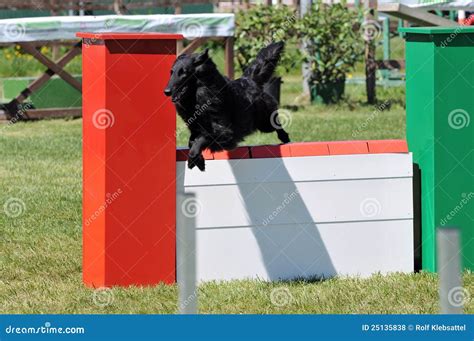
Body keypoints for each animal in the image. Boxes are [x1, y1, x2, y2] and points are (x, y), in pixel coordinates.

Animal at [167, 42, 290, 170]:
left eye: (184, 73)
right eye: (171, 72)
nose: (167, 91)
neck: (197, 99)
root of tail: (249, 79)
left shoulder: (224, 132)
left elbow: (201, 139)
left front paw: (194, 157)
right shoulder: (194, 129)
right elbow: (192, 142)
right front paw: (198, 160)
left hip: (264, 123)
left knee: (277, 125)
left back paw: (285, 139)